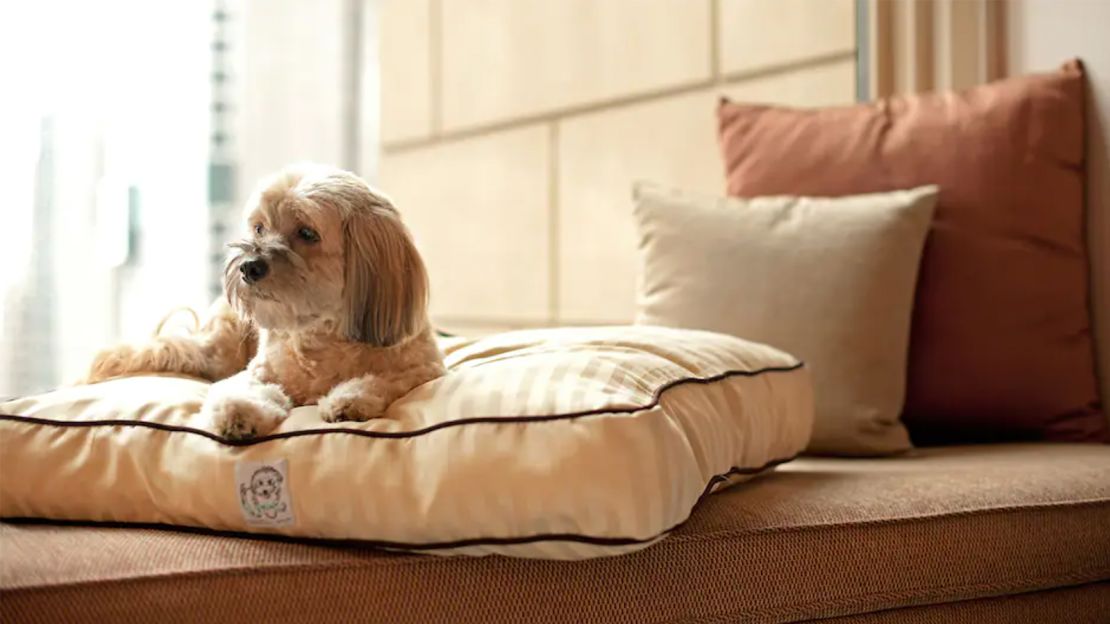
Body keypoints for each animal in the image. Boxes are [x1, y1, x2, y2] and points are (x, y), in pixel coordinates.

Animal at [84, 163, 446, 439]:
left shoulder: (424, 369)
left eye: (307, 233)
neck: (321, 336)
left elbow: (383, 380)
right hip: (220, 348)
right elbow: (242, 390)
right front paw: (237, 413)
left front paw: (349, 399)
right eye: (259, 228)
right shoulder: (256, 373)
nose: (248, 266)